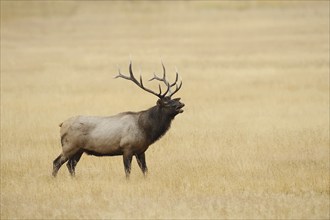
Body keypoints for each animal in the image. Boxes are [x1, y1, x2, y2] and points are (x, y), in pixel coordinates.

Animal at [52, 61, 184, 178]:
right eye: (166, 103)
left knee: (70, 165)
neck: (146, 130)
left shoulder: (141, 150)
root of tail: (61, 124)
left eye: (174, 100)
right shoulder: (127, 148)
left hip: (79, 149)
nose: (181, 104)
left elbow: (145, 170)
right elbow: (127, 171)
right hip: (69, 146)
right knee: (57, 162)